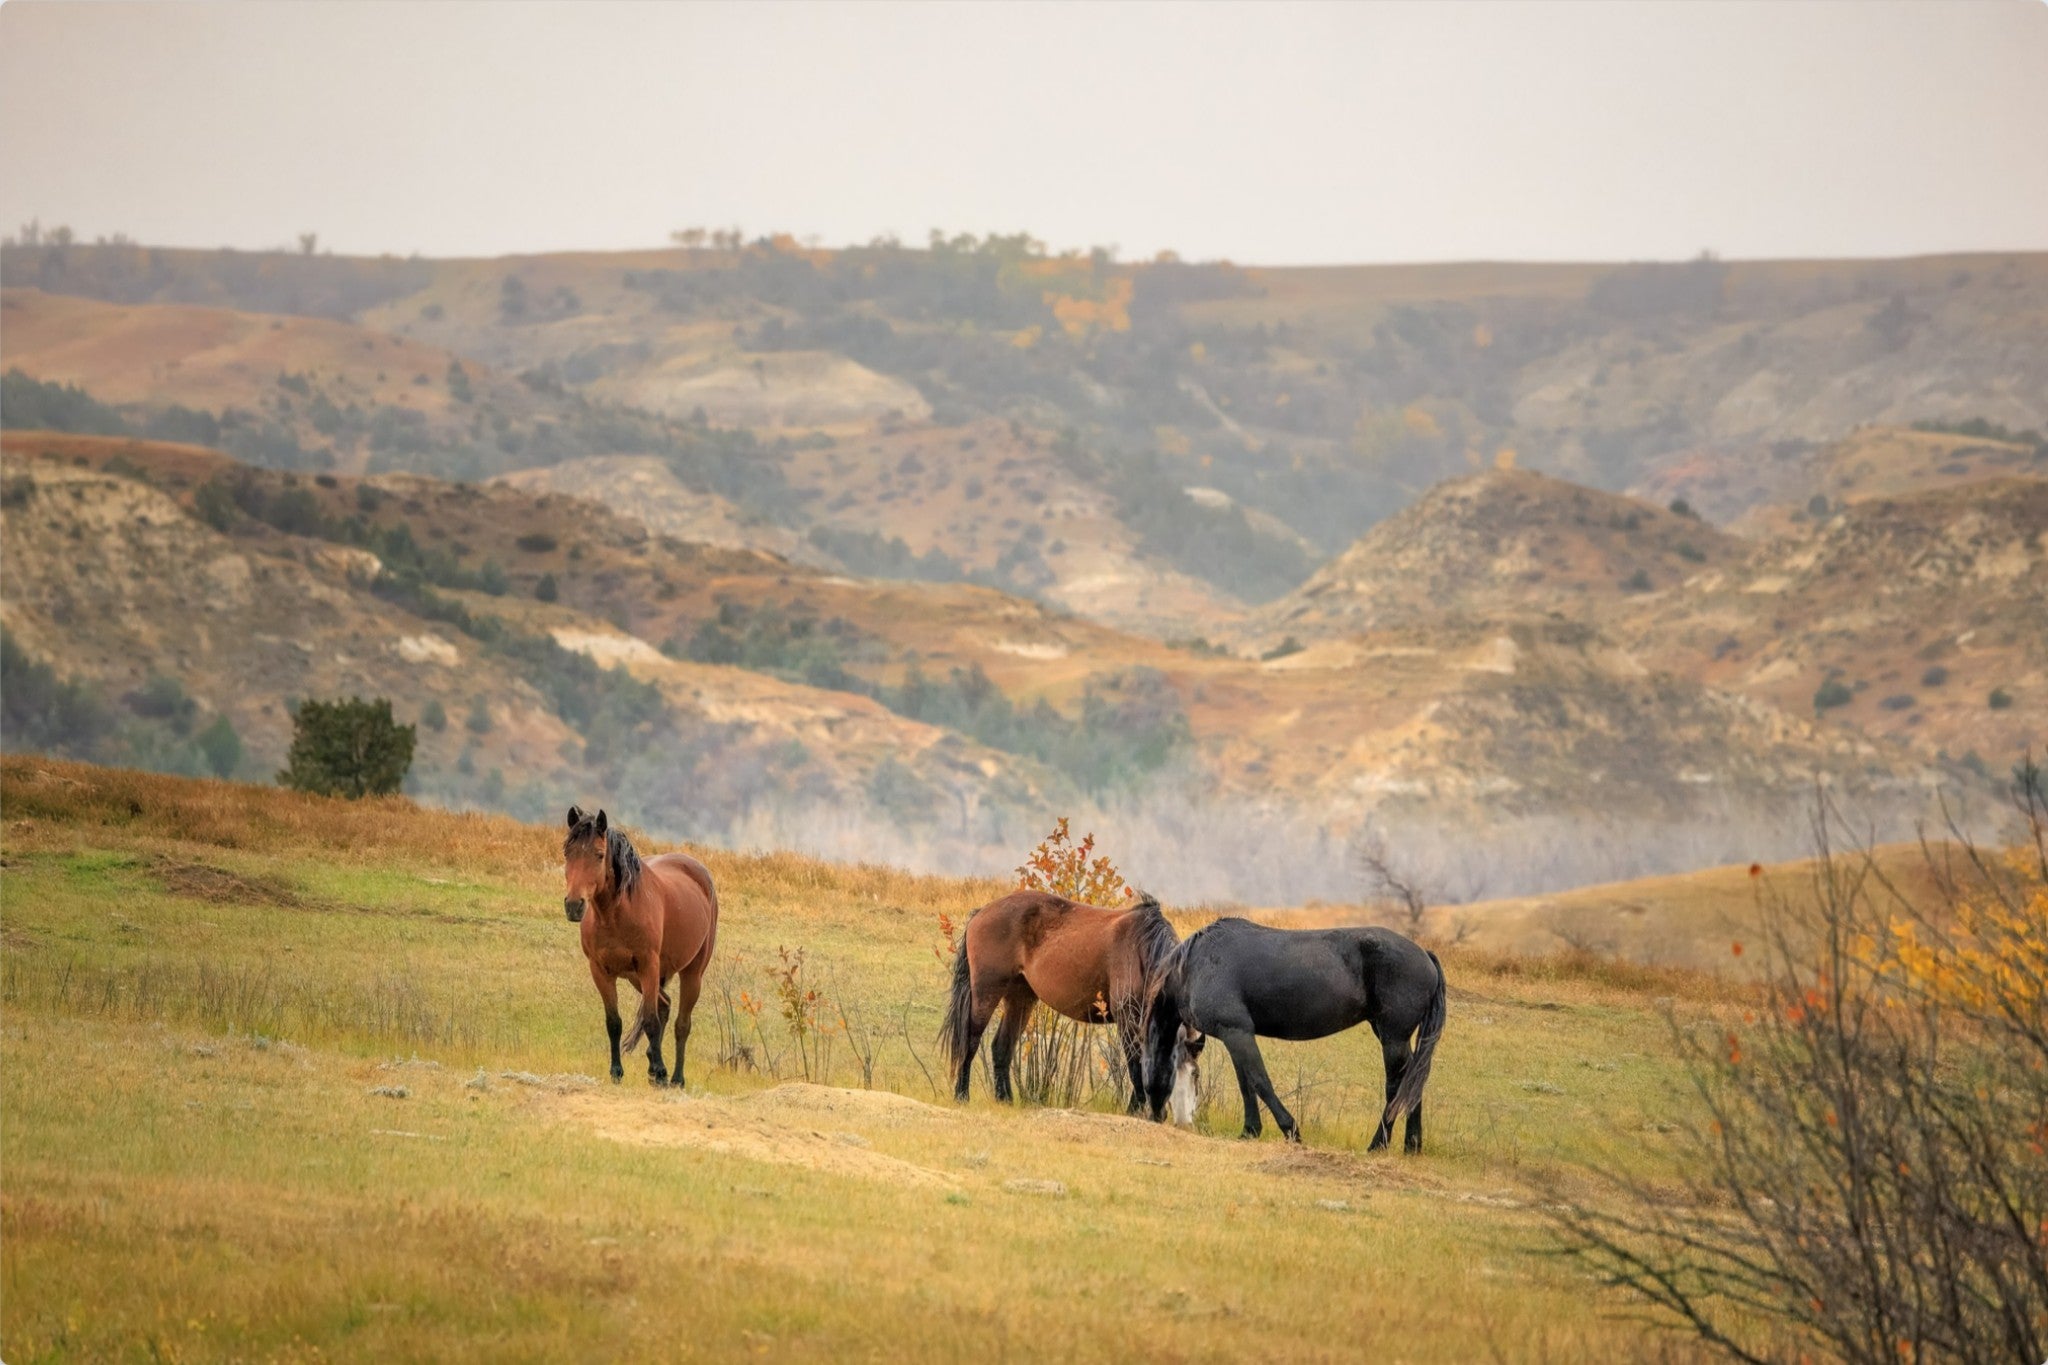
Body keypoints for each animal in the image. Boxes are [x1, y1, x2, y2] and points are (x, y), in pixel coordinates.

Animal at [561, 806, 718, 1087]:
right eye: (567, 853)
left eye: (599, 855)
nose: (574, 906)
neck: (615, 914)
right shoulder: (600, 971)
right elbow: (614, 1022)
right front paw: (617, 1072)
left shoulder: (649, 966)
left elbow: (650, 1021)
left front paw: (660, 1071)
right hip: (636, 977)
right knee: (665, 1004)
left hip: (691, 973)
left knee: (681, 1024)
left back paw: (675, 1078)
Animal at [941, 888, 1187, 1114]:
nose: (1160, 1114)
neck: (1141, 950)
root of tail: (981, 912)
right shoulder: (1127, 1017)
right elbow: (1136, 1065)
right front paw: (1133, 1112)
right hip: (986, 991)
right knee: (970, 1041)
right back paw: (961, 1095)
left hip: (1020, 998)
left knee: (1001, 1047)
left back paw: (1005, 1100)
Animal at [1142, 918, 1446, 1152]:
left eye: (1193, 1075)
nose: (1158, 1116)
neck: (1194, 966)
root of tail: (1425, 955)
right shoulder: (1233, 1036)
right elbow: (1246, 1084)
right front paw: (1249, 1131)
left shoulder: (1238, 1033)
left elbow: (1260, 1081)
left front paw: (1291, 1131)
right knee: (1412, 1082)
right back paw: (1411, 1145)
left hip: (1393, 1038)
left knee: (1396, 1086)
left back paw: (1378, 1145)